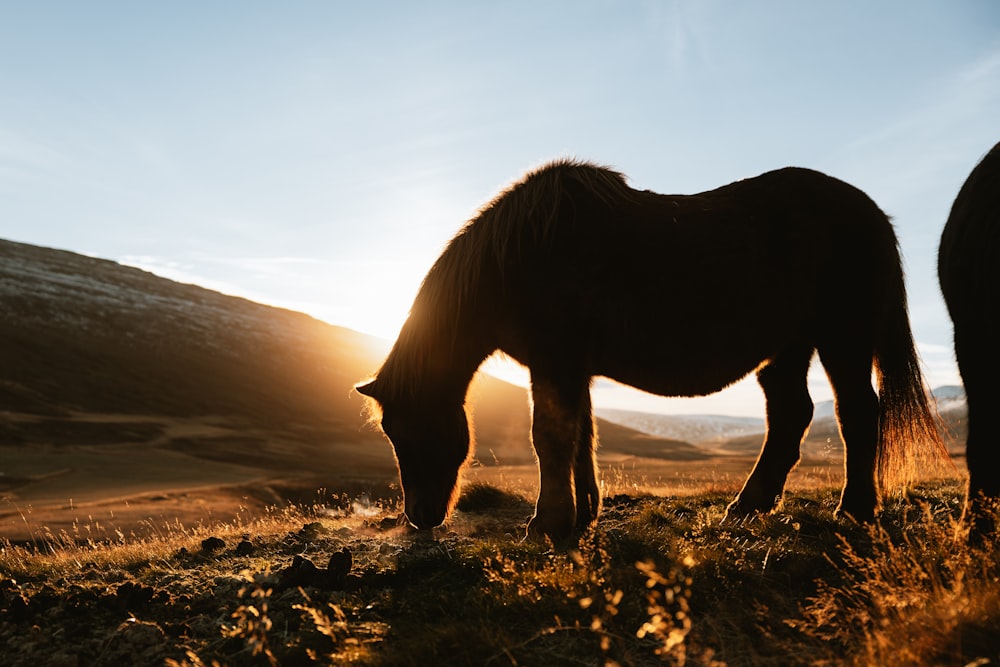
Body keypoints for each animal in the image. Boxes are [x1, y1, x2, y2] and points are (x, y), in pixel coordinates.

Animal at [358, 159, 944, 540]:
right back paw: (746, 508)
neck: (518, 257)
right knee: (790, 416)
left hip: (841, 338)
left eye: (408, 430)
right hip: (787, 348)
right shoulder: (571, 369)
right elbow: (581, 437)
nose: (420, 517)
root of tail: (872, 213)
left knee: (856, 412)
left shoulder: (556, 361)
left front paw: (546, 525)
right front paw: (582, 516)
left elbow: (550, 437)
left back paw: (855, 510)